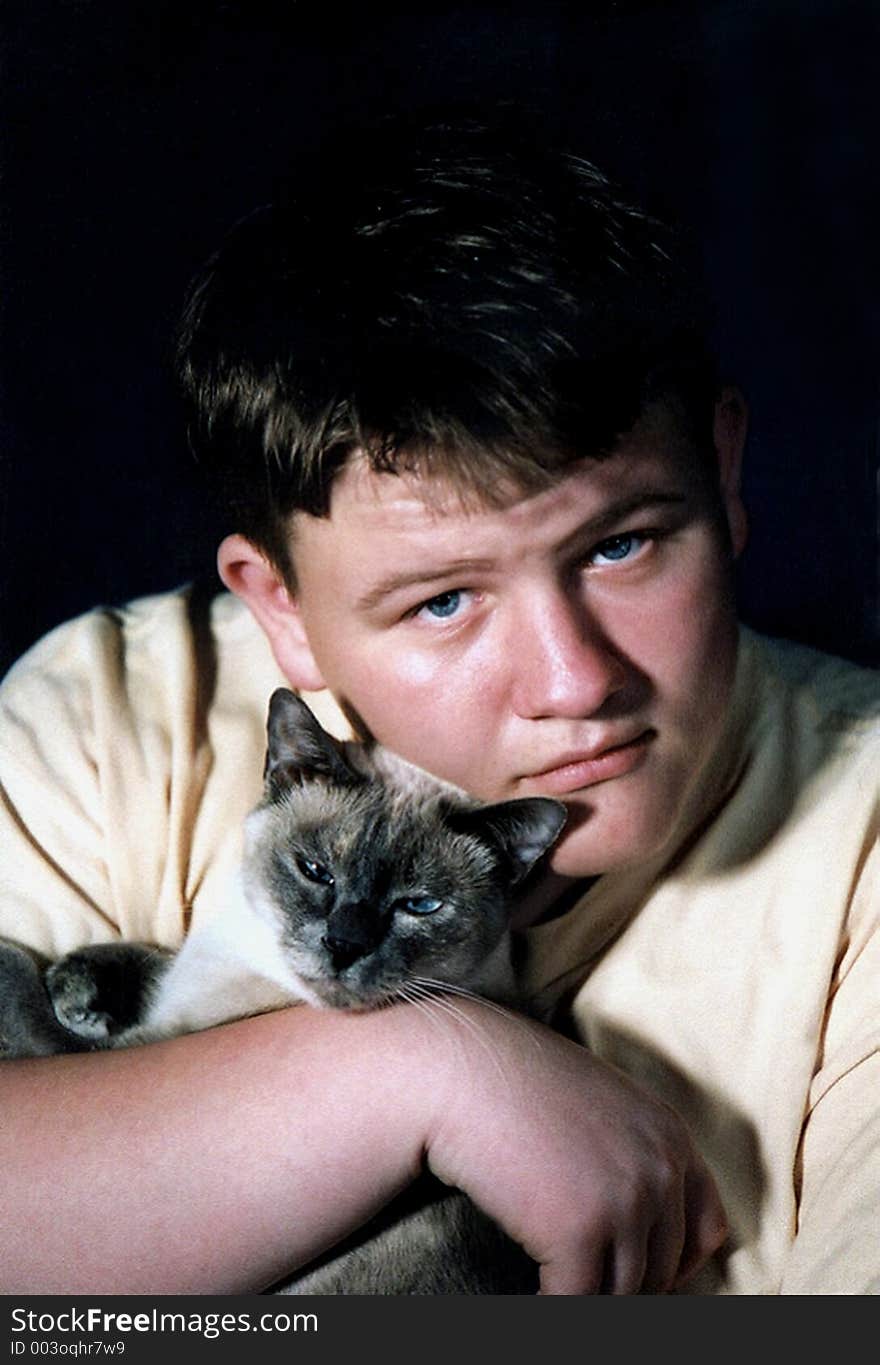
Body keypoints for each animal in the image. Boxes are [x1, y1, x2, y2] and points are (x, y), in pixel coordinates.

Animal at [0, 687, 562, 1294]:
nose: (342, 945)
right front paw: (76, 984)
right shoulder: (176, 984)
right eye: (316, 871)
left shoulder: (141, 1049)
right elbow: (150, 956)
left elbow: (37, 1011)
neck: (246, 958)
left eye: (419, 905)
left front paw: (42, 981)